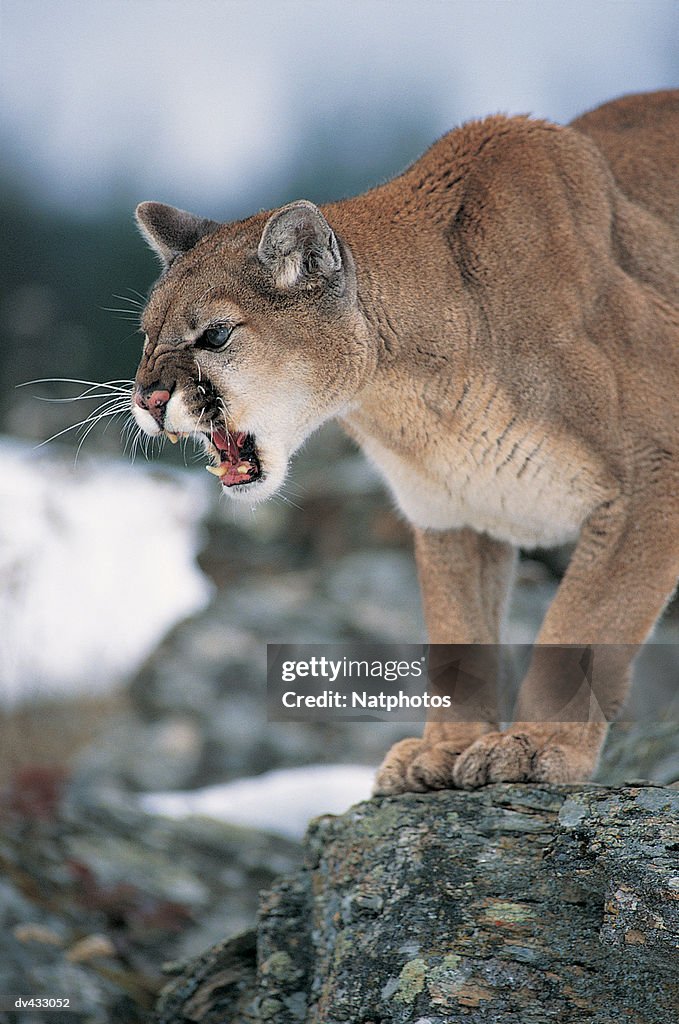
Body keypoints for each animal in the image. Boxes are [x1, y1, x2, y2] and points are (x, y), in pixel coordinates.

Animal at [130, 90, 675, 790]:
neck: (407, 392)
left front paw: (533, 744)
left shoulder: (653, 477)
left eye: (216, 335)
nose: (146, 399)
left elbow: (584, 623)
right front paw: (442, 750)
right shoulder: (454, 511)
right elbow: (457, 634)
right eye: (147, 335)